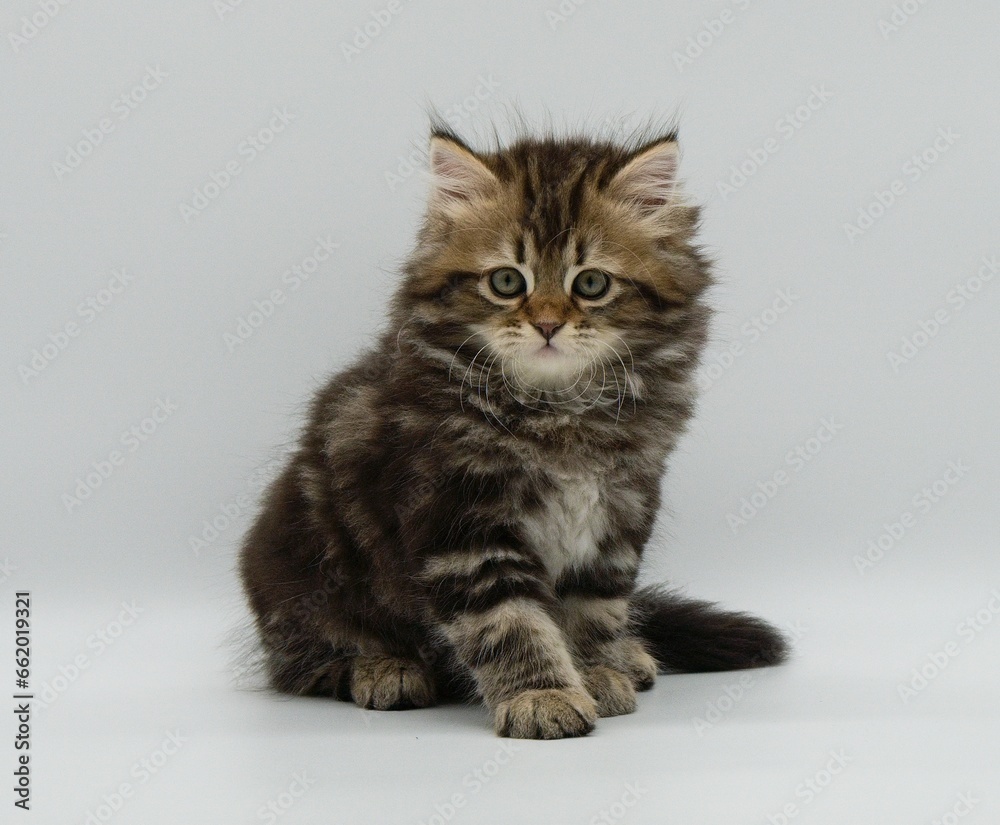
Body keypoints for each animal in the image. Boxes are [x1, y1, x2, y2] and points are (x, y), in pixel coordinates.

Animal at [238, 122, 784, 740]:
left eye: (591, 284)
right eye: (505, 281)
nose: (546, 324)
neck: (559, 411)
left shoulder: (618, 513)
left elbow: (594, 608)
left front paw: (594, 670)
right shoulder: (460, 522)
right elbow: (511, 623)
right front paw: (543, 695)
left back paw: (632, 654)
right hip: (301, 570)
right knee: (303, 659)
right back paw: (383, 668)